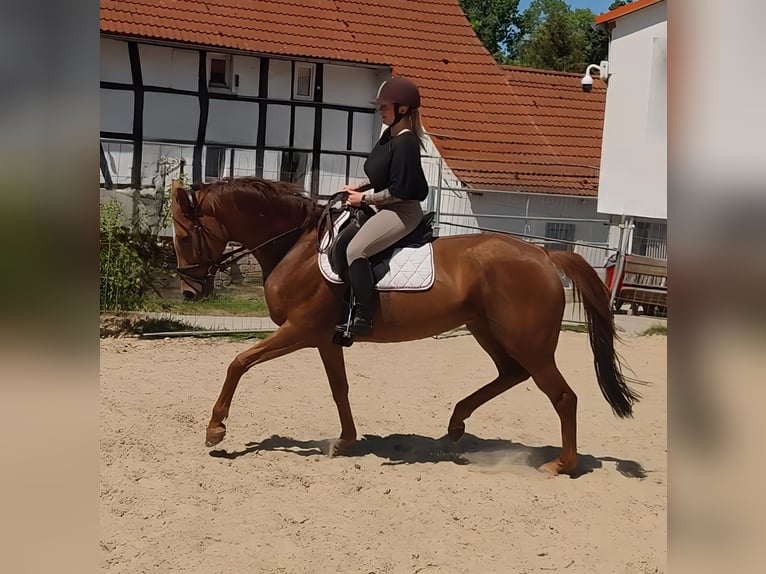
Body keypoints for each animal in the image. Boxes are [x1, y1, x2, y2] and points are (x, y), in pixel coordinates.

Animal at [170, 177, 640, 476]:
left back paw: (561, 464)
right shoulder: (324, 339)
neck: (296, 248)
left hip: (529, 342)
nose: (190, 292)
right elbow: (339, 388)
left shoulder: (299, 331)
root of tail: (544, 254)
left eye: (183, 236)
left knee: (562, 396)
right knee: (510, 374)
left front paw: (215, 429)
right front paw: (344, 440)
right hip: (488, 330)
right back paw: (456, 424)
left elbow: (239, 362)